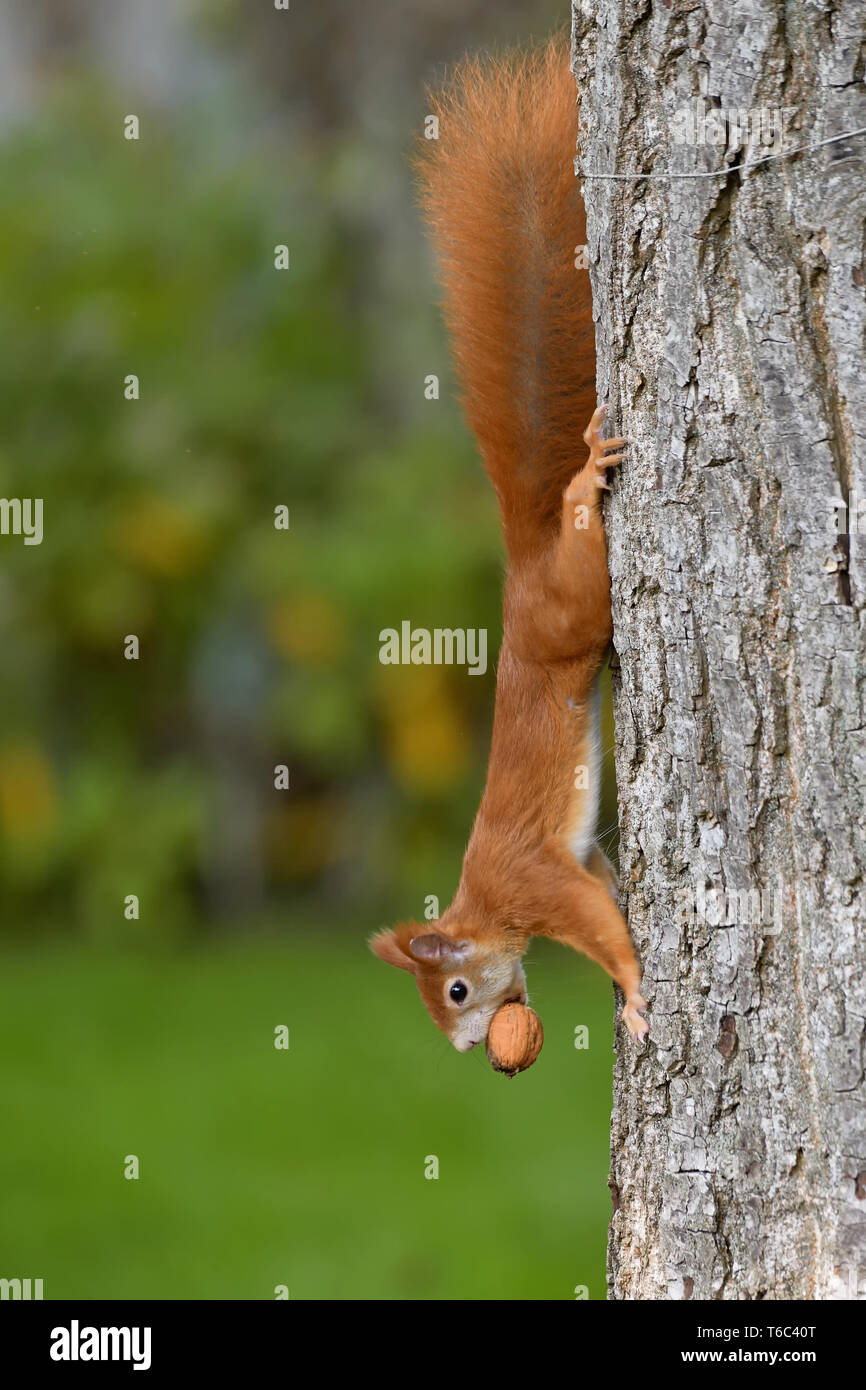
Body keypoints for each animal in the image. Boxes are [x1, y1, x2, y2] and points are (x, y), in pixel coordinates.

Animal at [369, 35, 647, 1050]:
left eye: (453, 991)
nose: (469, 1053)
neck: (483, 904)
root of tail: (525, 567)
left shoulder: (538, 884)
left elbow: (599, 930)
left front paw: (635, 994)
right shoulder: (575, 865)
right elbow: (607, 882)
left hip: (575, 600)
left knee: (580, 539)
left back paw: (582, 479)